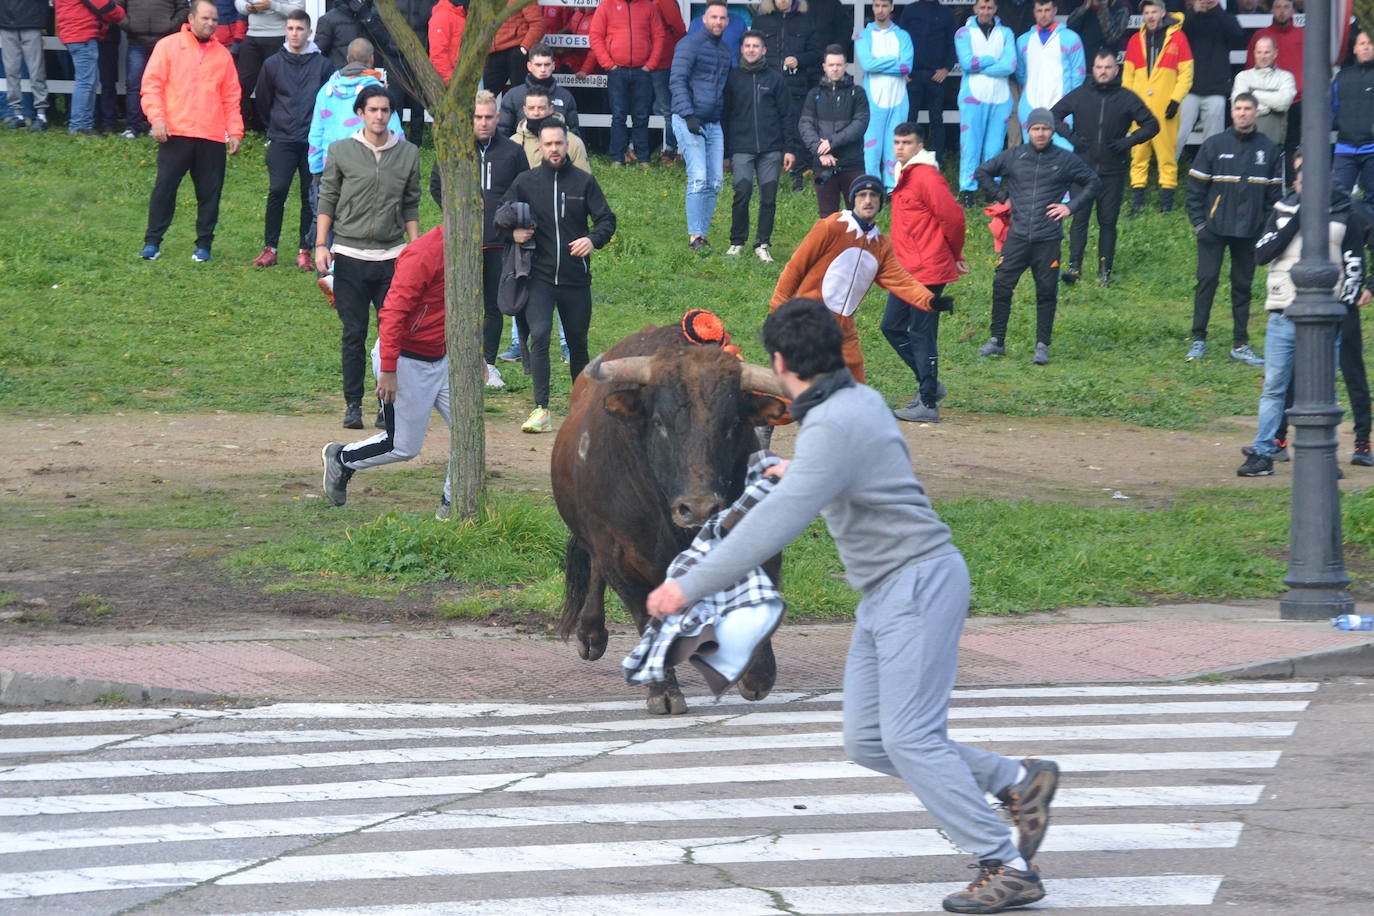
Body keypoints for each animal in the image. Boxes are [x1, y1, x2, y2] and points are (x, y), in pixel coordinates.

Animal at [546, 322, 785, 714]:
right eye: (659, 421)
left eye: (733, 424)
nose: (699, 508)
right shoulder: (620, 555)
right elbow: (645, 618)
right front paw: (663, 691)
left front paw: (758, 675)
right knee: (595, 569)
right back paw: (591, 634)